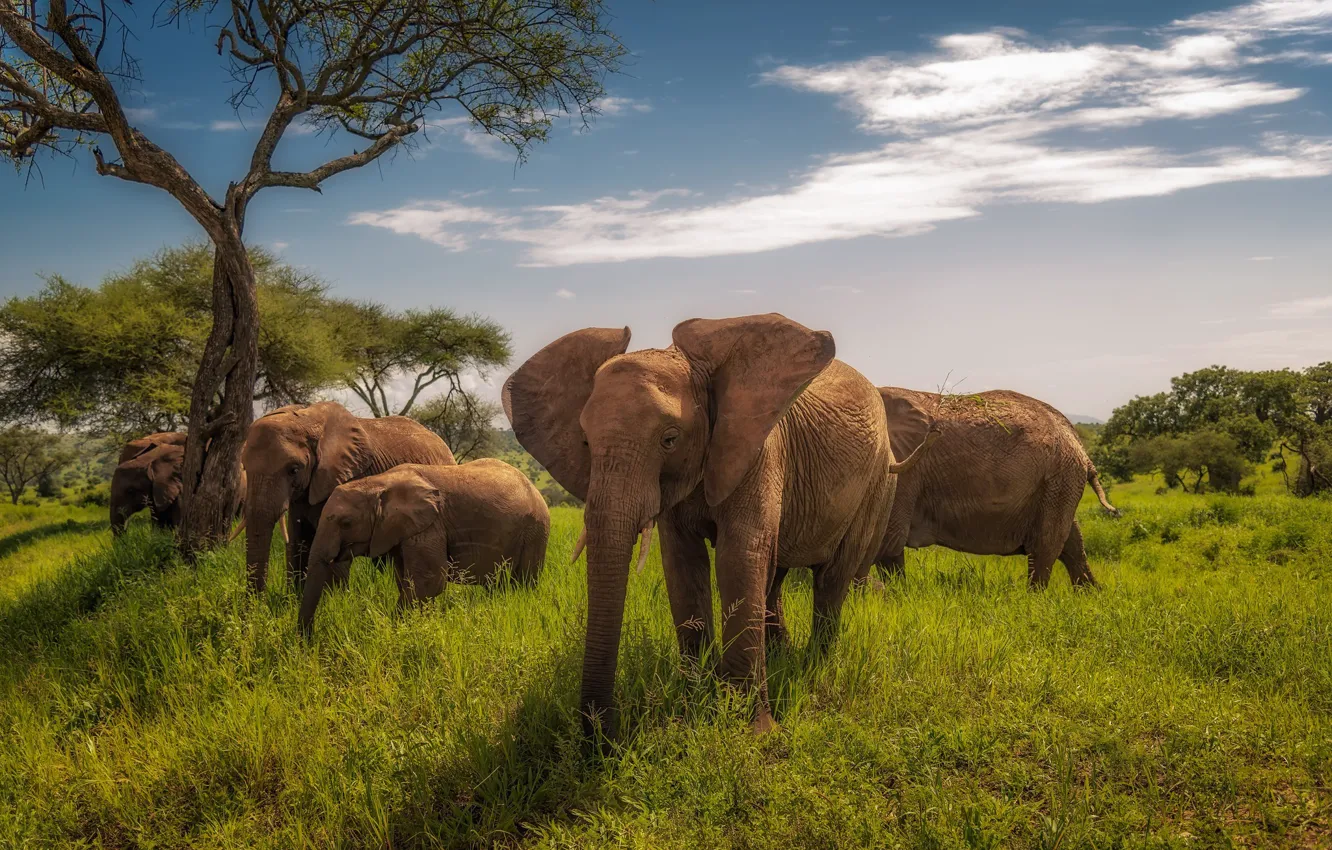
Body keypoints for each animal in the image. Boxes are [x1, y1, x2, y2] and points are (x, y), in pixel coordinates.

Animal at [243, 402, 458, 596]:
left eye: (293, 470)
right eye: (244, 467)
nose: (256, 602)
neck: (307, 420)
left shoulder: (348, 477)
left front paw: (335, 600)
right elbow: (298, 540)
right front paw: (294, 598)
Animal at [299, 458, 548, 639]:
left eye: (346, 523)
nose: (308, 641)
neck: (379, 482)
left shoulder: (430, 525)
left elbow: (429, 581)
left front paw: (391, 633)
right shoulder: (402, 530)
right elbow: (407, 581)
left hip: (536, 531)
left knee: (524, 583)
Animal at [503, 313, 932, 740]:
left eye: (670, 439)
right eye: (586, 443)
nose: (602, 741)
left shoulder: (759, 451)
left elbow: (737, 559)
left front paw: (752, 730)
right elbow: (683, 565)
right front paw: (693, 705)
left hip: (878, 483)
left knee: (832, 577)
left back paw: (812, 664)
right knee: (775, 573)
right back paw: (782, 655)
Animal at [857, 389, 1118, 588]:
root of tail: (1079, 444)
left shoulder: (906, 471)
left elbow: (886, 542)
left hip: (1058, 477)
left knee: (1044, 547)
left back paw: (1035, 601)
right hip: (1060, 483)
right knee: (1072, 543)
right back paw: (1091, 596)